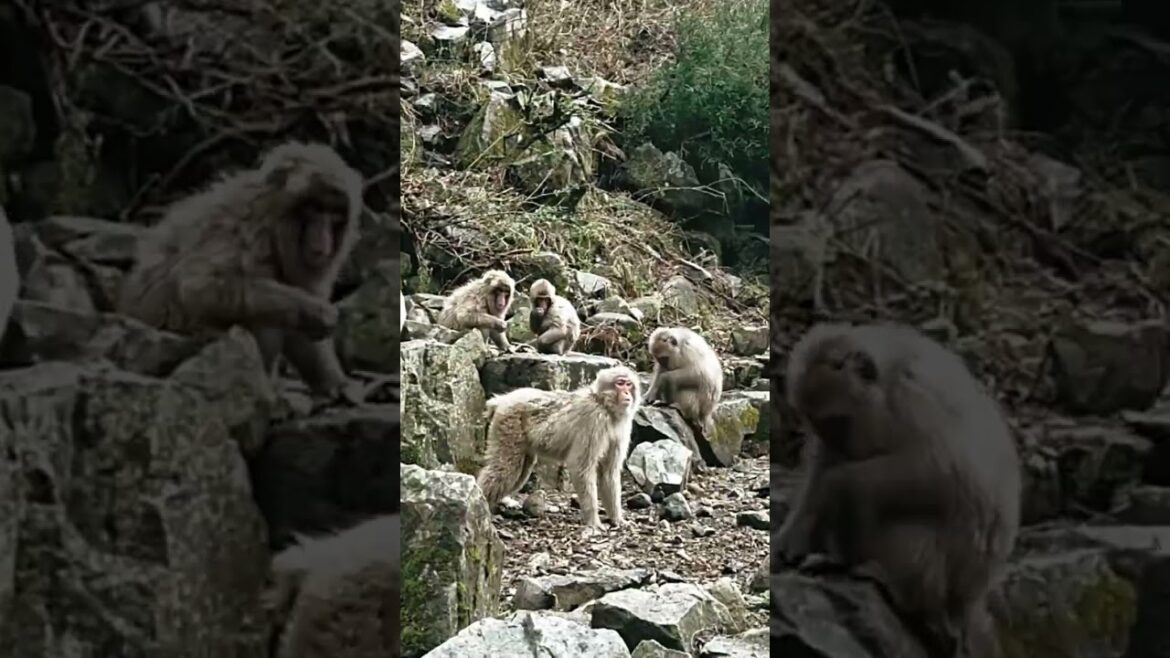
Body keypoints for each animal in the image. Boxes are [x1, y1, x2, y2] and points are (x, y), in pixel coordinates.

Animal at [117, 141, 363, 401]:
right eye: (314, 209)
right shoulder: (248, 231)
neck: (273, 223)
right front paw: (314, 311)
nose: (323, 242)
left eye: (334, 215)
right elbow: (198, 287)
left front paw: (335, 382)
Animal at [476, 366, 640, 535]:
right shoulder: (594, 421)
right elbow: (581, 468)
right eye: (620, 383)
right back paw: (480, 506)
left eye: (629, 384)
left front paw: (617, 519)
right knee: (505, 470)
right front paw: (593, 522)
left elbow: (608, 472)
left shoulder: (622, 428)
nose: (627, 393)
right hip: (508, 424)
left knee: (520, 472)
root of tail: (503, 400)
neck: (605, 406)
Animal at [774, 322, 1021, 658]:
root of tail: (966, 602)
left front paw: (838, 480)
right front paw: (791, 537)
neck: (888, 386)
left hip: (941, 576)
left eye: (838, 423)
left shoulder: (914, 400)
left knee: (904, 521)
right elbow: (822, 466)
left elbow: (946, 473)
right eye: (823, 427)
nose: (841, 445)